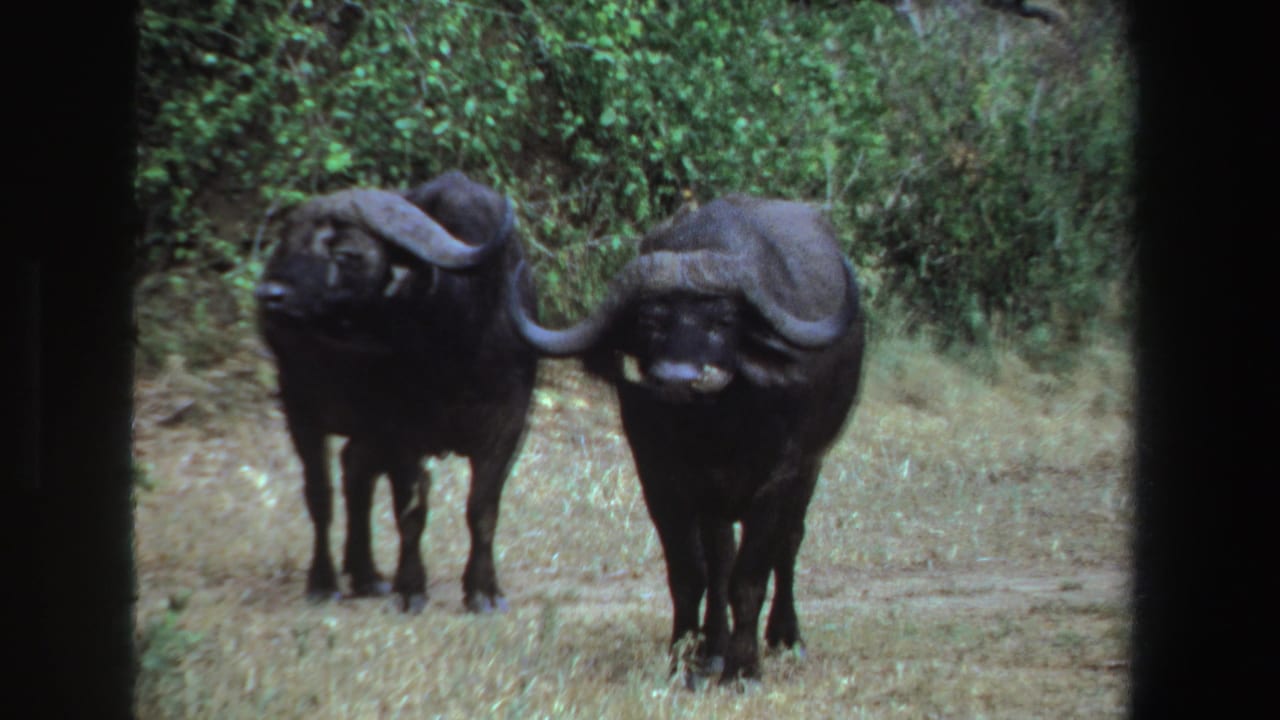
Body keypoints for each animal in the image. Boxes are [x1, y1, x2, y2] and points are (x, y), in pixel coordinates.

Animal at [508, 195, 865, 682]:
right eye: (650, 322)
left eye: (723, 320)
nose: (678, 379)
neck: (714, 428)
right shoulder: (660, 479)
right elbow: (690, 573)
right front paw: (683, 657)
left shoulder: (779, 475)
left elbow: (751, 575)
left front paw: (743, 668)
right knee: (720, 559)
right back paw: (712, 649)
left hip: (812, 466)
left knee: (789, 543)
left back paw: (785, 637)